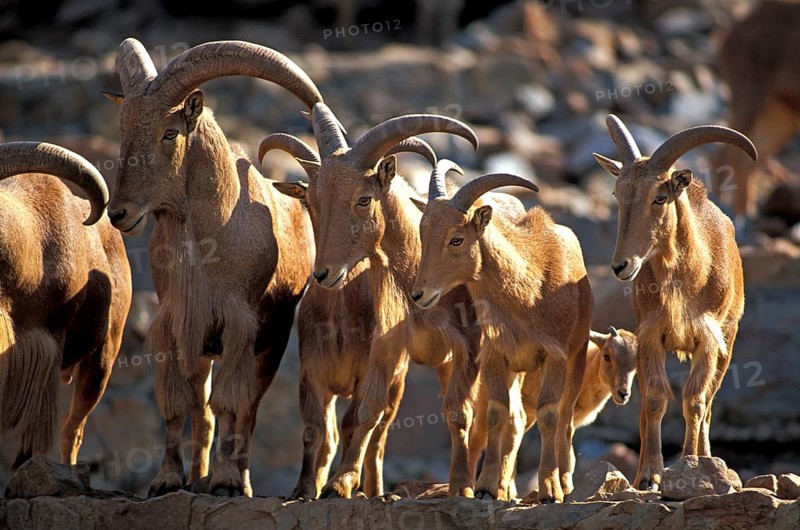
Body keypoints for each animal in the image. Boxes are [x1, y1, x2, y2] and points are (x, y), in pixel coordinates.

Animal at [105, 38, 324, 497]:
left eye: (170, 132)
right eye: (122, 130)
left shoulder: (240, 328)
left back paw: (235, 479)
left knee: (246, 412)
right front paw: (166, 481)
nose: (120, 213)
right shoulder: (175, 326)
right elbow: (176, 404)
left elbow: (230, 405)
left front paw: (224, 481)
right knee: (202, 414)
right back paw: (197, 478)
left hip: (270, 342)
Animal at [258, 133, 436, 498]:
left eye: (363, 199)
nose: (325, 273)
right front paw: (303, 488)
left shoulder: (370, 374)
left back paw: (375, 490)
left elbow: (357, 422)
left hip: (397, 383)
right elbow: (316, 431)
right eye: (310, 200)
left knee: (378, 440)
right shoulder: (311, 373)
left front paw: (340, 485)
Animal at [300, 102, 485, 498]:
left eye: (363, 198)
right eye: (315, 199)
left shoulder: (472, 346)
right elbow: (367, 410)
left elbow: (461, 413)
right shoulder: (389, 344)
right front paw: (341, 482)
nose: (323, 274)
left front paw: (462, 486)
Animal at [411, 163, 594, 503]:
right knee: (517, 418)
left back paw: (564, 481)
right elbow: (496, 413)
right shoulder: (496, 353)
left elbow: (549, 415)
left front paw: (550, 489)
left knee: (565, 420)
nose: (420, 294)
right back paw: (506, 487)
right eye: (422, 234)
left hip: (577, 355)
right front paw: (485, 487)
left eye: (456, 239)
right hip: (518, 369)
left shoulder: (555, 354)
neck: (527, 293)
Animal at [593, 114, 756, 491]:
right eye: (617, 193)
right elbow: (654, 400)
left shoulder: (709, 338)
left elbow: (694, 402)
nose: (621, 265)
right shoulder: (650, 335)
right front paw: (650, 476)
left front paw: (690, 464)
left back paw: (711, 461)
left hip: (729, 340)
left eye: (660, 196)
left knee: (709, 403)